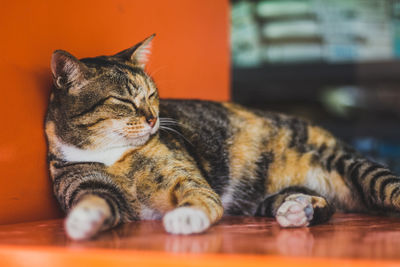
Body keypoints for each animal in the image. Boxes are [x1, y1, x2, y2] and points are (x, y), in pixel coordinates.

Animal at [45, 34, 400, 242]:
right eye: (123, 100)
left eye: (152, 94)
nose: (153, 118)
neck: (113, 155)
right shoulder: (85, 183)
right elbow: (97, 200)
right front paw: (83, 220)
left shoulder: (184, 176)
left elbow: (199, 194)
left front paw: (186, 216)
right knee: (323, 205)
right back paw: (297, 209)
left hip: (353, 167)